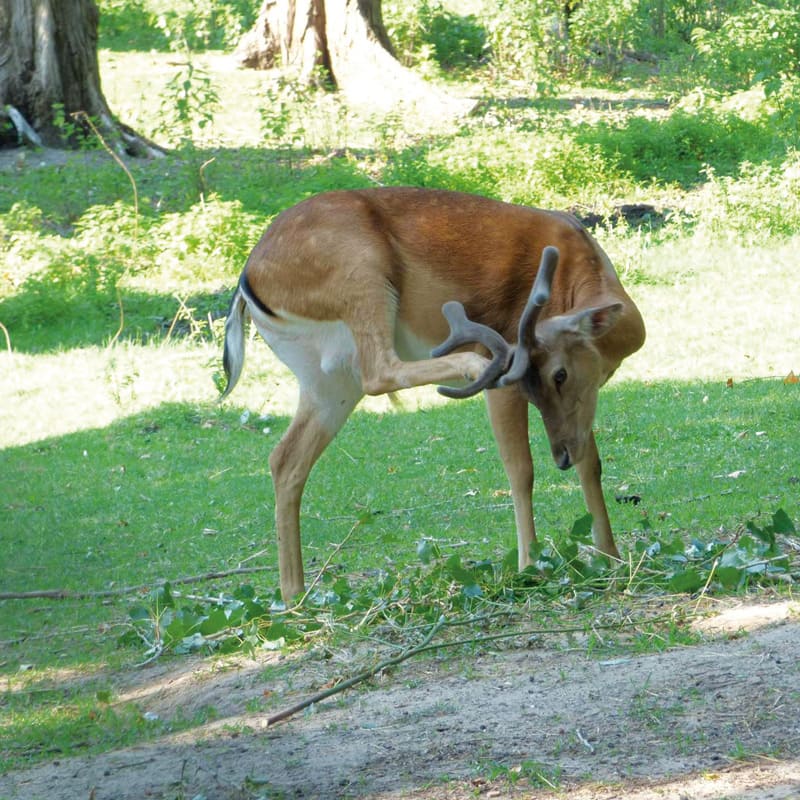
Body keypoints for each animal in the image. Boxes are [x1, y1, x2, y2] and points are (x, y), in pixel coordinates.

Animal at [222, 188, 648, 600]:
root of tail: (246, 281)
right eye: (539, 381)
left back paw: (295, 596)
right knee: (379, 371)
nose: (560, 456)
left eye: (559, 375)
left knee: (285, 458)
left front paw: (611, 557)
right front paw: (529, 567)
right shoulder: (506, 393)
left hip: (328, 381)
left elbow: (592, 465)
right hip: (361, 275)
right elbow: (520, 469)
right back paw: (475, 365)